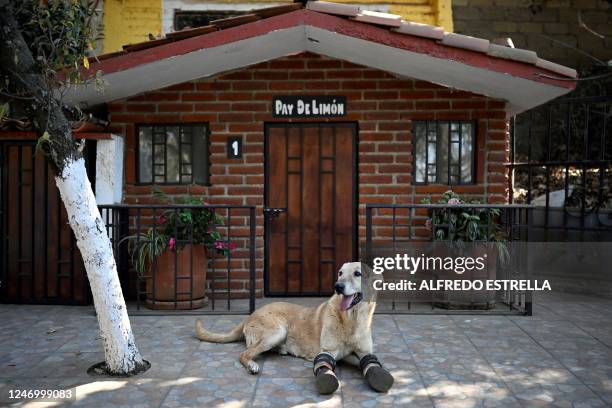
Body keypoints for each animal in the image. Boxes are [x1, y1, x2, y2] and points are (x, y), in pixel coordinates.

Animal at [197, 262, 396, 394]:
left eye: (357, 273)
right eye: (340, 273)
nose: (337, 286)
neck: (351, 320)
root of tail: (250, 315)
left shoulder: (362, 352)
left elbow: (368, 361)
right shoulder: (330, 352)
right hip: (277, 331)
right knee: (244, 353)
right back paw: (252, 364)